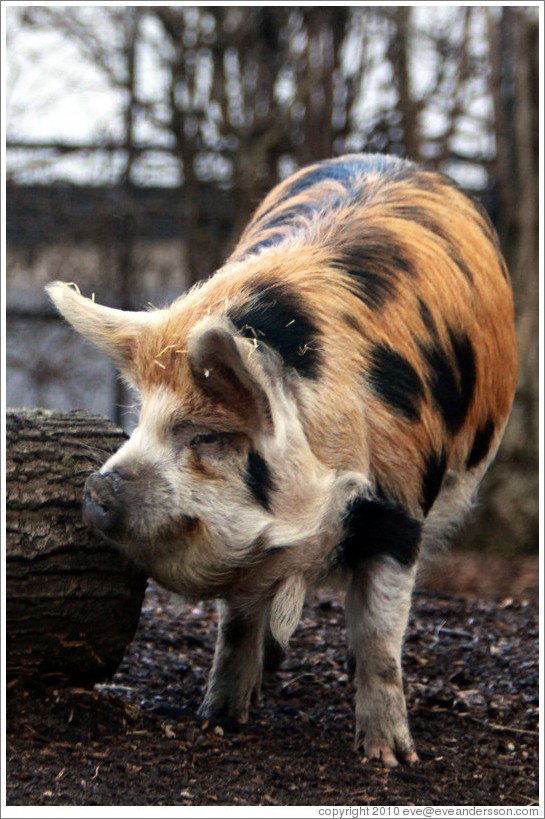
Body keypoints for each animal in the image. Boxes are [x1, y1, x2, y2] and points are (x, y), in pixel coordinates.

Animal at [46, 153, 517, 767]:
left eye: (207, 434)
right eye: (141, 418)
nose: (96, 488)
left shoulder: (400, 505)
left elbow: (380, 633)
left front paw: (389, 758)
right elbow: (236, 622)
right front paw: (219, 718)